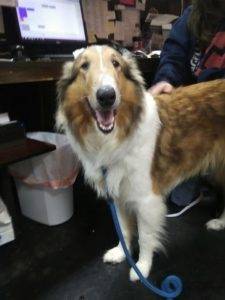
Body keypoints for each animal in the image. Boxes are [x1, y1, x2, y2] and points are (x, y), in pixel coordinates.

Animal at [55, 44, 225, 282]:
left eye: (116, 63)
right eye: (84, 66)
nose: (107, 96)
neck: (113, 137)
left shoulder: (146, 200)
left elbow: (144, 237)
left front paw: (142, 268)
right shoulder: (117, 193)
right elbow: (124, 230)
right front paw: (120, 253)